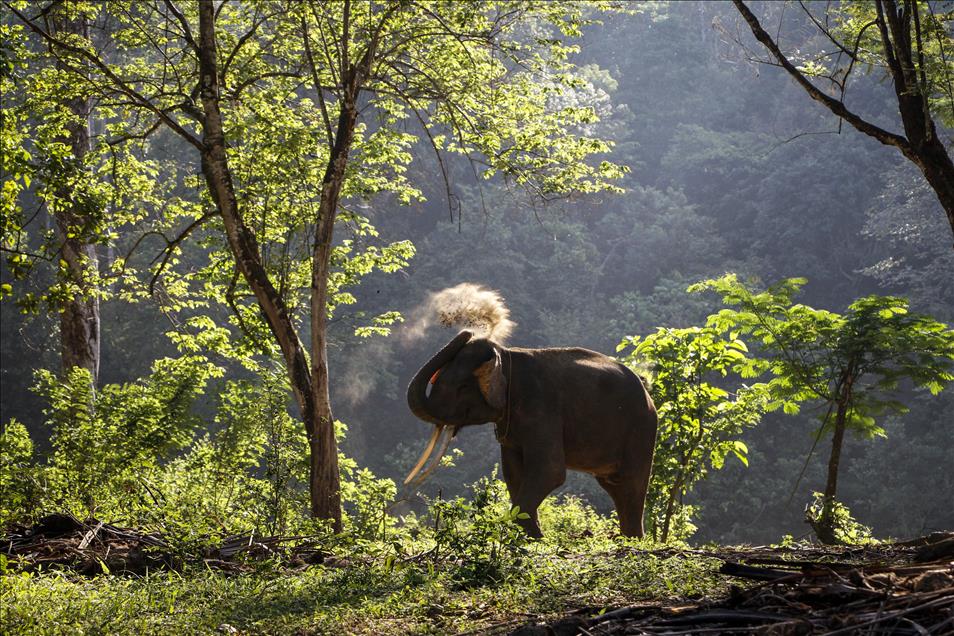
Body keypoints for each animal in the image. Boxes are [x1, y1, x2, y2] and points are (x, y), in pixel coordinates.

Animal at [402, 330, 656, 540]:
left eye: (462, 387)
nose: (468, 332)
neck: (506, 355)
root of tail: (645, 388)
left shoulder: (542, 409)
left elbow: (550, 471)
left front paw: (534, 538)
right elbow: (513, 473)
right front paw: (532, 536)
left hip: (641, 430)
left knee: (630, 484)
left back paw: (632, 540)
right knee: (615, 486)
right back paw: (628, 539)